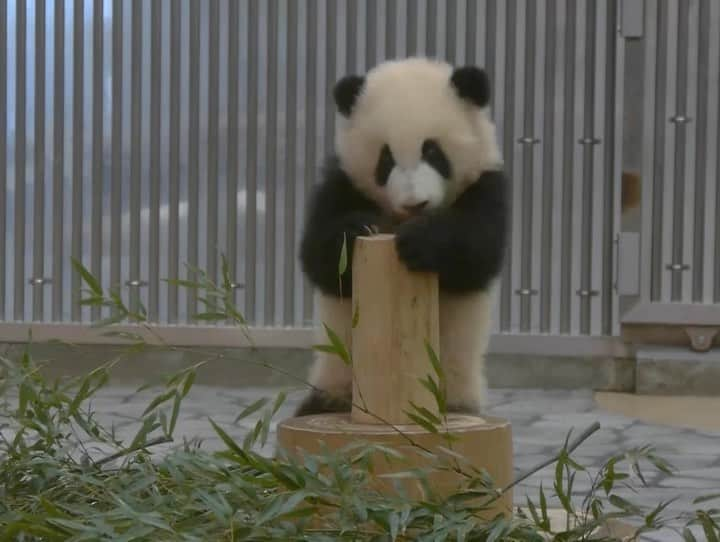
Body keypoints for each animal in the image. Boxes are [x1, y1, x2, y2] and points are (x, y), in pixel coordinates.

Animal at [296, 56, 510, 420]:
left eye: (433, 153)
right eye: (386, 159)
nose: (415, 204)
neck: (399, 221)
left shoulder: (485, 185)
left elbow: (477, 251)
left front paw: (421, 241)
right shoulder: (342, 183)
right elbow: (319, 259)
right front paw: (357, 230)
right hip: (334, 380)